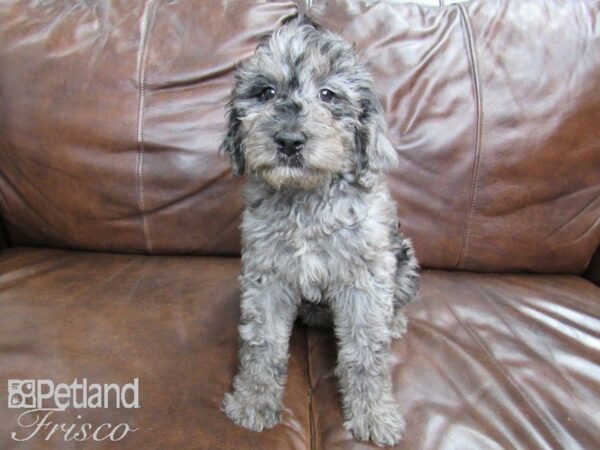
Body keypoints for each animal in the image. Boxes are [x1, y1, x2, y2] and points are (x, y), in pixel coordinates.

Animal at [219, 16, 418, 446]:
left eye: (329, 94)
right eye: (265, 92)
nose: (289, 141)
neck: (306, 198)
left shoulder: (364, 279)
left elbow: (365, 352)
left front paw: (374, 414)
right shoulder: (267, 276)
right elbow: (262, 342)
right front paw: (253, 401)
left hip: (405, 259)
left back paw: (394, 322)